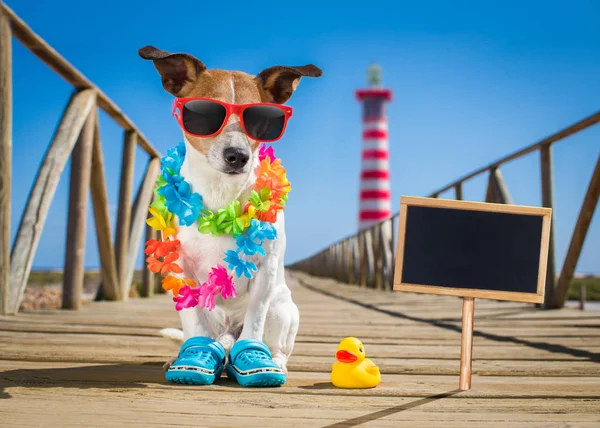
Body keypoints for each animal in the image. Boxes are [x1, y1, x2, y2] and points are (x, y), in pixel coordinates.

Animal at [139, 45, 324, 378]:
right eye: (203, 114)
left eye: (261, 119)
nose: (237, 155)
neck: (220, 194)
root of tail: (226, 336)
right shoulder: (180, 270)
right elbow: (194, 323)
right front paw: (192, 357)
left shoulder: (265, 271)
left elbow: (254, 322)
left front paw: (255, 358)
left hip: (283, 310)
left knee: (277, 344)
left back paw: (274, 361)